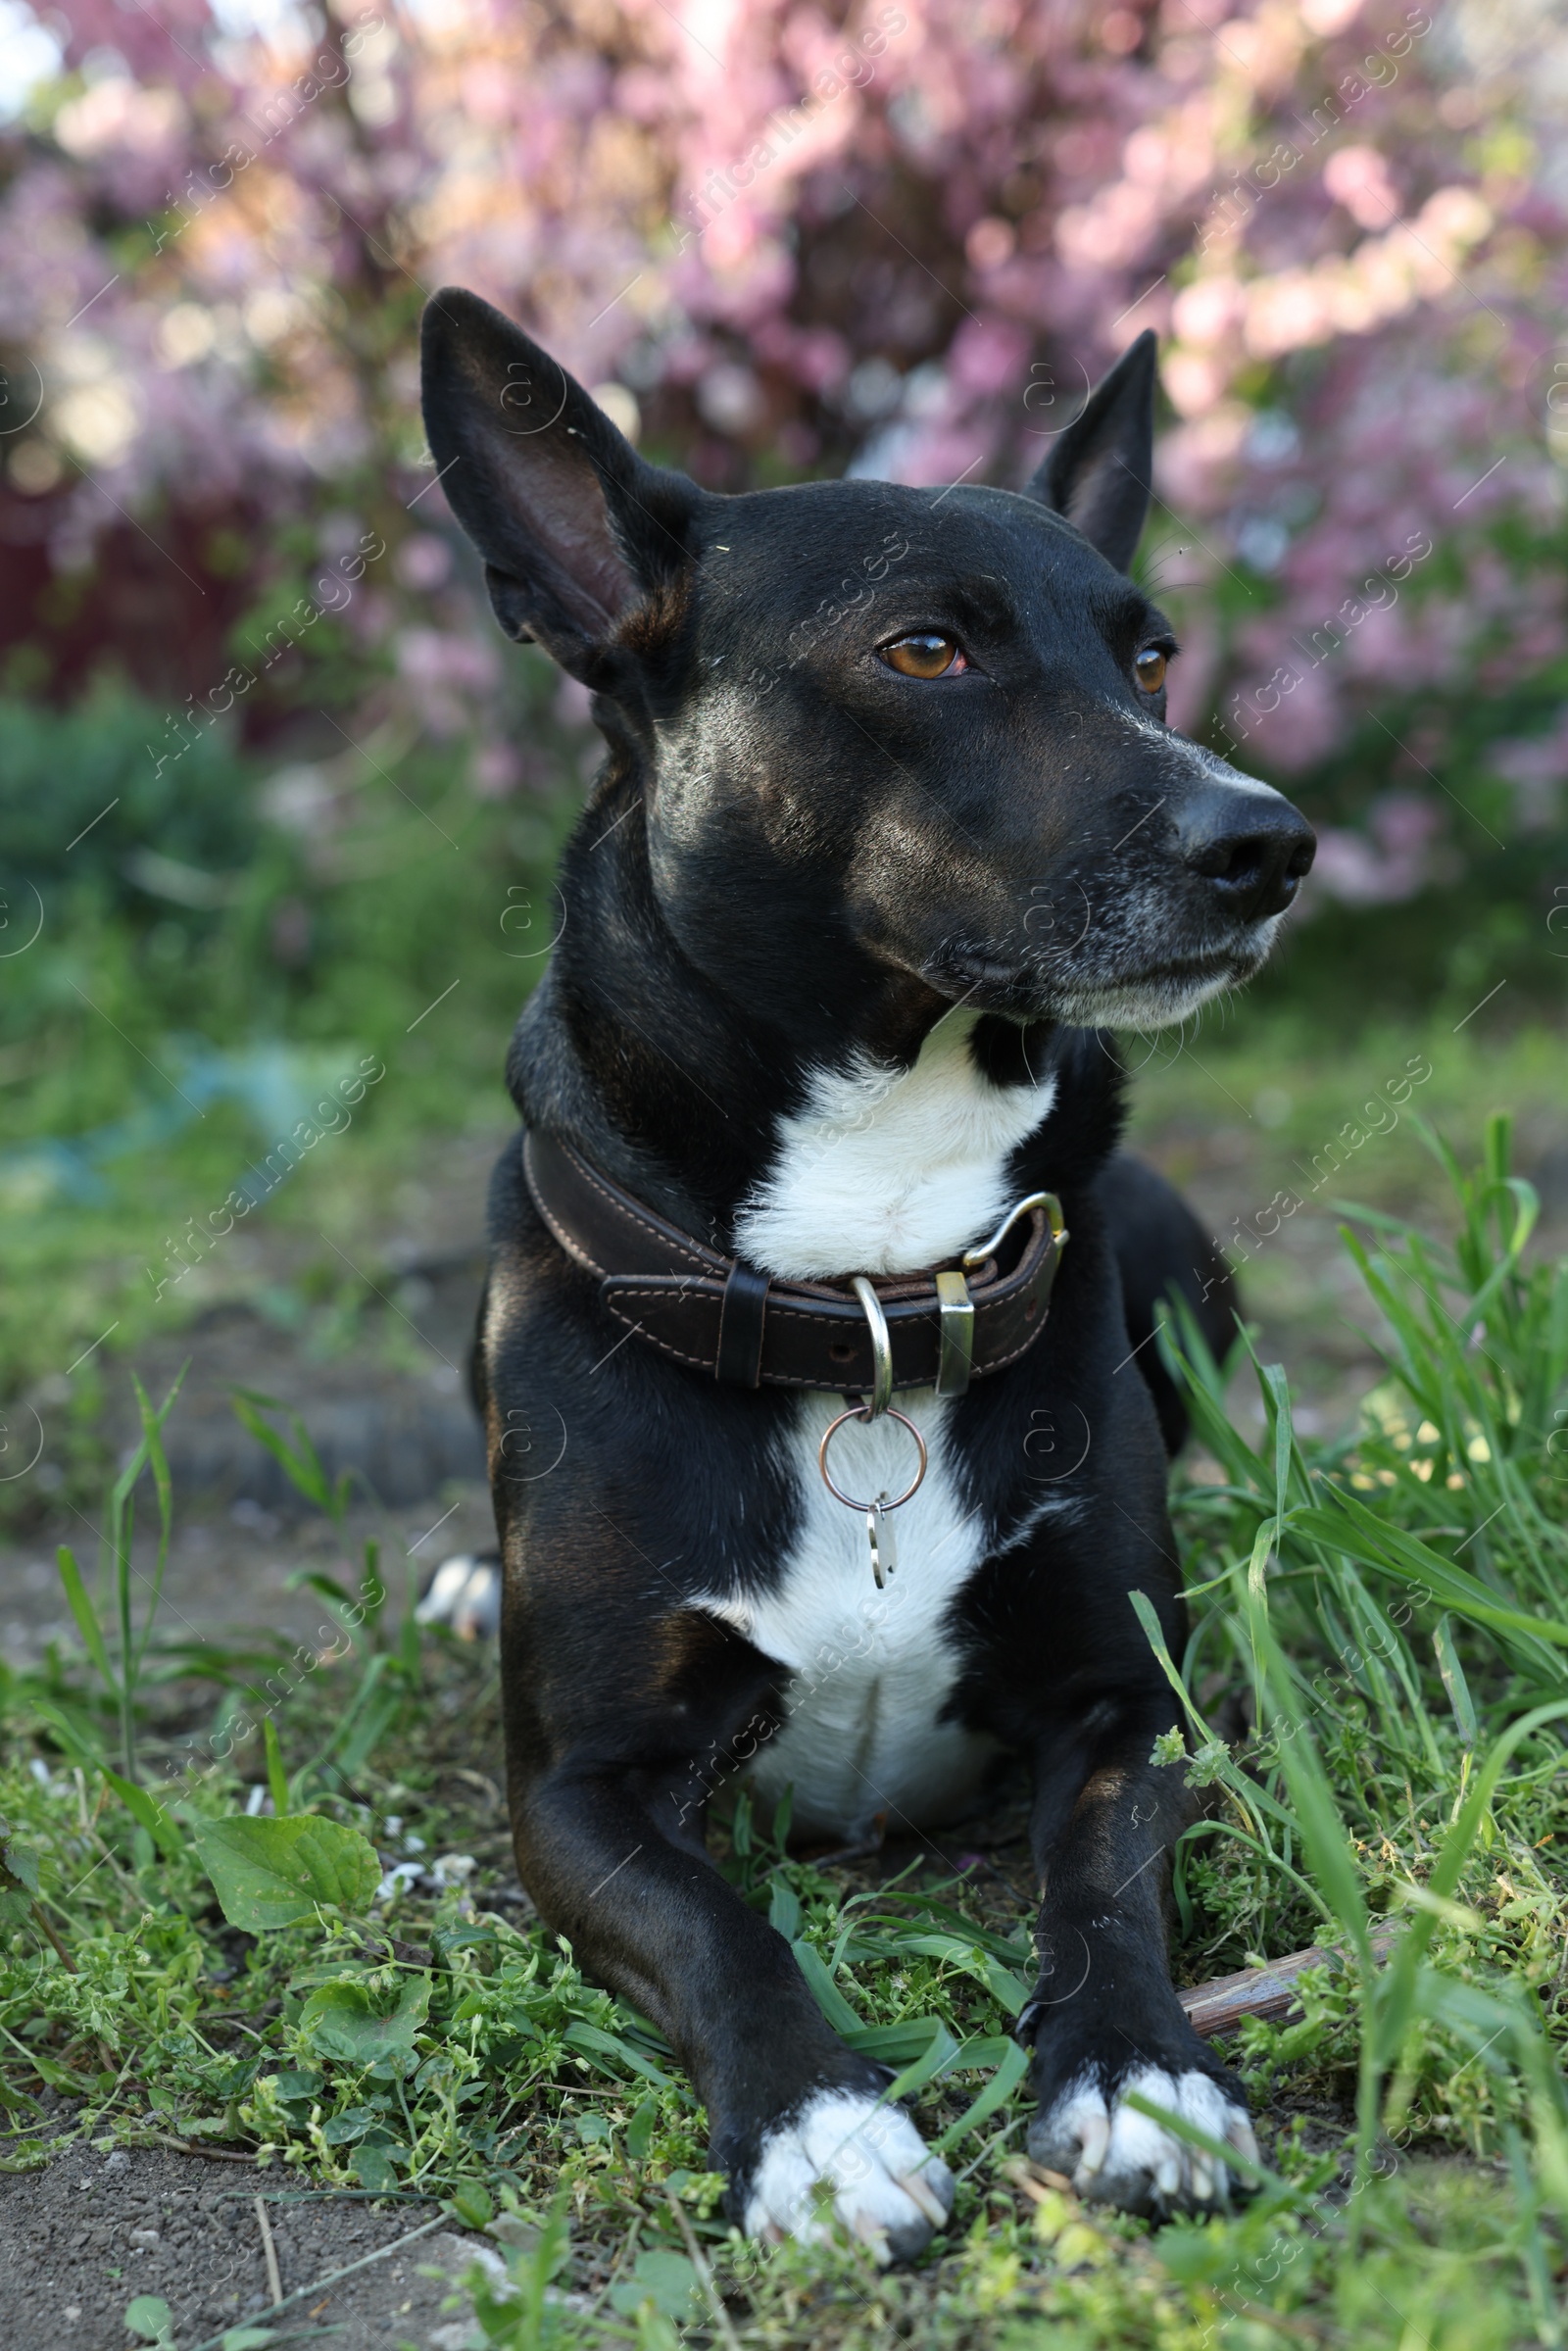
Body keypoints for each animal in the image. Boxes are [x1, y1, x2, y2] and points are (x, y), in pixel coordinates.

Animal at [414, 293, 1316, 2257]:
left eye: (1150, 655)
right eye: (926, 647)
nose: (1269, 841)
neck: (871, 1289)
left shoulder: (1131, 1700)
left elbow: (1105, 1883)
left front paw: (1143, 2072)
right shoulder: (576, 1791)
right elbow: (719, 1926)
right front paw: (822, 2125)